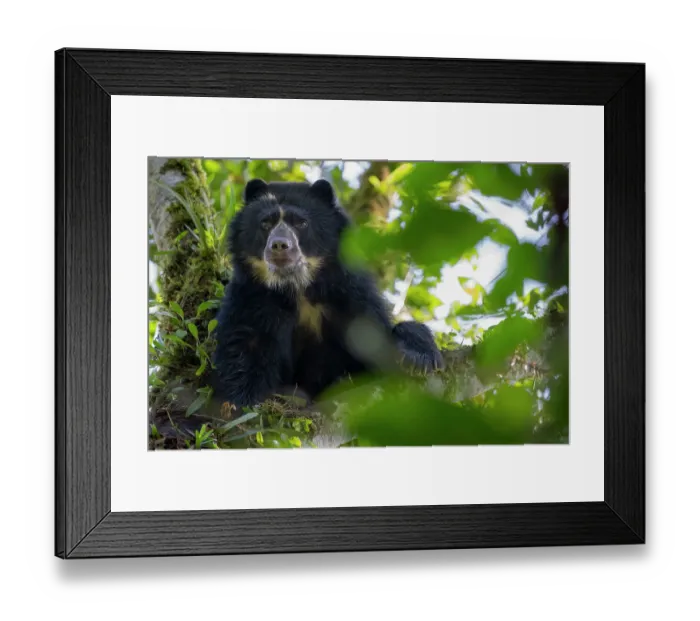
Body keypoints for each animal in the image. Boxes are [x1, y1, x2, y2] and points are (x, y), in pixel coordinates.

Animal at [211, 177, 443, 409]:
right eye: (265, 223)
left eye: (301, 223)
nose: (279, 245)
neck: (299, 288)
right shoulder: (252, 299)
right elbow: (243, 350)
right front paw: (243, 402)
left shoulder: (351, 295)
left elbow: (375, 343)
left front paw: (418, 360)